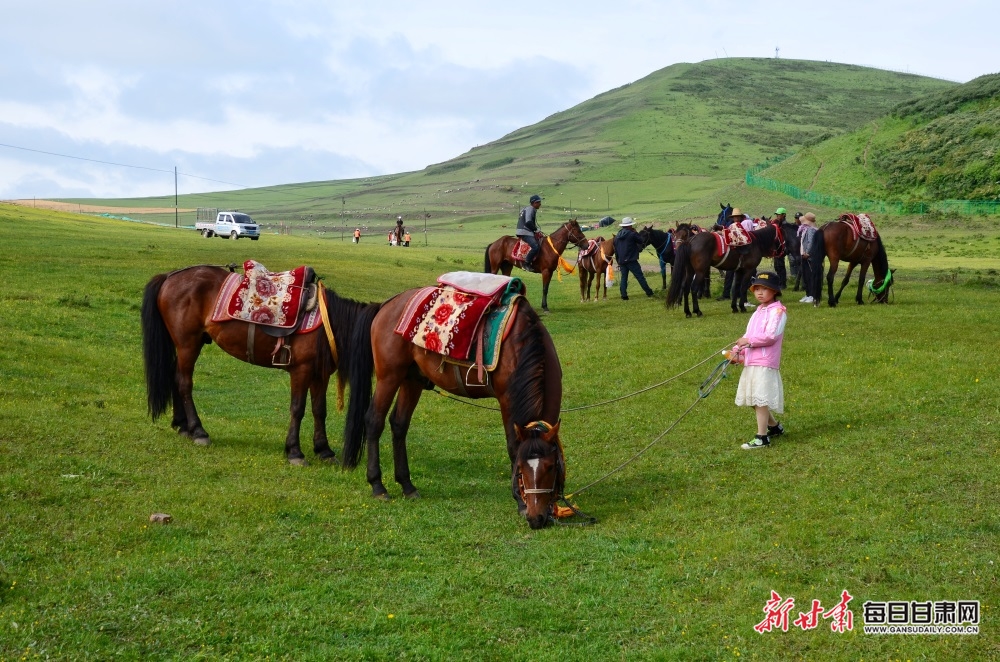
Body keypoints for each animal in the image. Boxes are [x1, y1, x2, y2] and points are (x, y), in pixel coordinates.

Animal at [139, 262, 374, 464]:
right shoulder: (302, 371)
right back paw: (198, 431)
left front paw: (324, 450)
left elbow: (319, 410)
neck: (328, 324)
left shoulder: (320, 374)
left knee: (176, 377)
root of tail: (169, 276)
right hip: (188, 344)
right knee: (184, 383)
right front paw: (294, 452)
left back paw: (182, 426)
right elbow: (298, 409)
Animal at [342, 272, 564, 532]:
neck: (520, 345)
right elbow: (513, 446)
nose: (536, 518)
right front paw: (519, 502)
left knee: (399, 424)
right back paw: (378, 485)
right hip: (389, 376)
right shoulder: (507, 399)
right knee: (374, 420)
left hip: (412, 378)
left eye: (550, 467)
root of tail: (386, 305)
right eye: (522, 469)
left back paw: (407, 485)